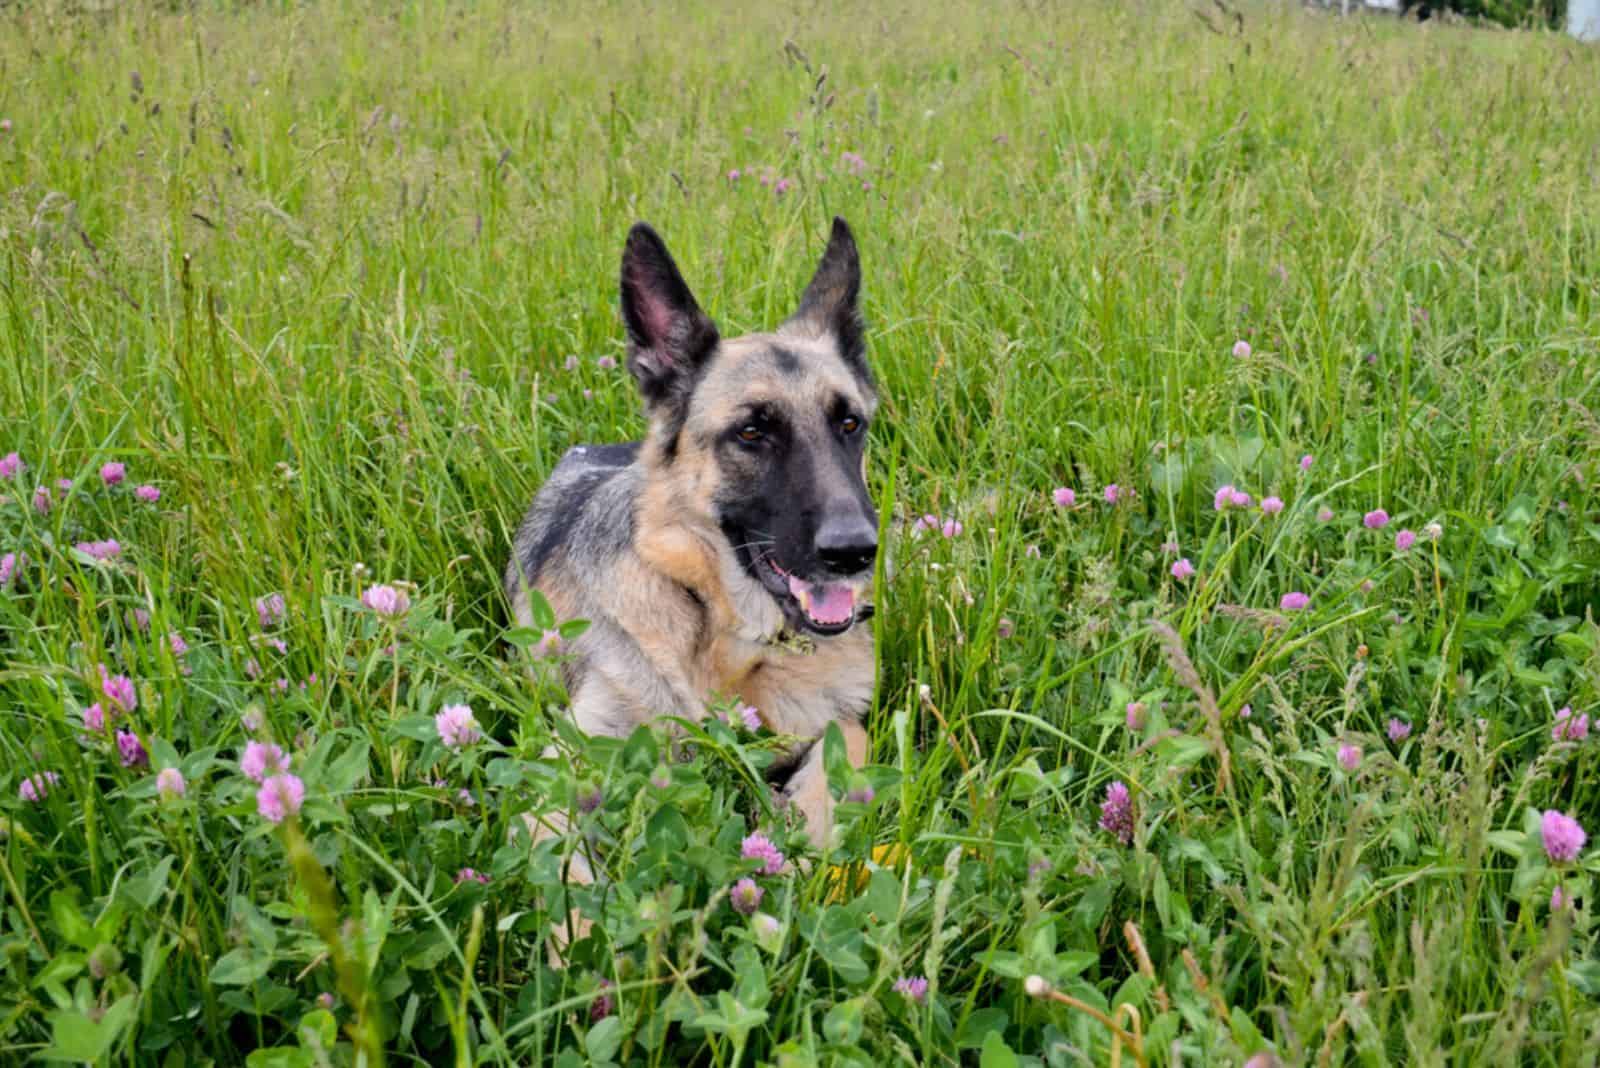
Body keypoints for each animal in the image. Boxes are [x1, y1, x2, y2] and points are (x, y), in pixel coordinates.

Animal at [502, 217, 876, 876]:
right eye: (752, 432)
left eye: (849, 424)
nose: (854, 552)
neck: (725, 638)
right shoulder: (566, 763)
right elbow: (562, 866)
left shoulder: (843, 724)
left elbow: (834, 766)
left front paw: (789, 853)